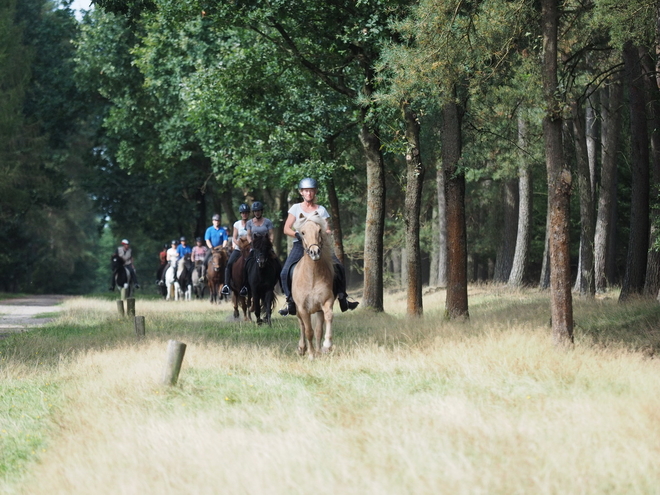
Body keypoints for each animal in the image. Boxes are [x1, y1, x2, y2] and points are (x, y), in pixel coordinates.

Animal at [292, 211, 336, 358]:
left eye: (319, 230)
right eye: (303, 232)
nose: (315, 252)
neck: (312, 277)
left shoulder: (326, 301)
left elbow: (327, 319)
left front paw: (326, 346)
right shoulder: (303, 309)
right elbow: (308, 331)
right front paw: (311, 355)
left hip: (317, 310)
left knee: (318, 330)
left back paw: (318, 350)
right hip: (298, 310)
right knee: (302, 326)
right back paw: (302, 348)